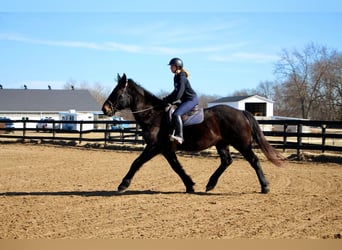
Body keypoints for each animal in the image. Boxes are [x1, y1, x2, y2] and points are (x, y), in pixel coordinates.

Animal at [102, 73, 284, 194]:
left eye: (118, 93)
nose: (105, 109)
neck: (154, 114)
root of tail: (241, 112)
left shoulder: (154, 147)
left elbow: (137, 163)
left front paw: (123, 185)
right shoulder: (166, 150)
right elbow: (176, 167)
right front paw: (190, 185)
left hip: (241, 144)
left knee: (253, 160)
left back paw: (264, 186)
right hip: (222, 143)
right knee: (226, 161)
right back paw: (210, 184)